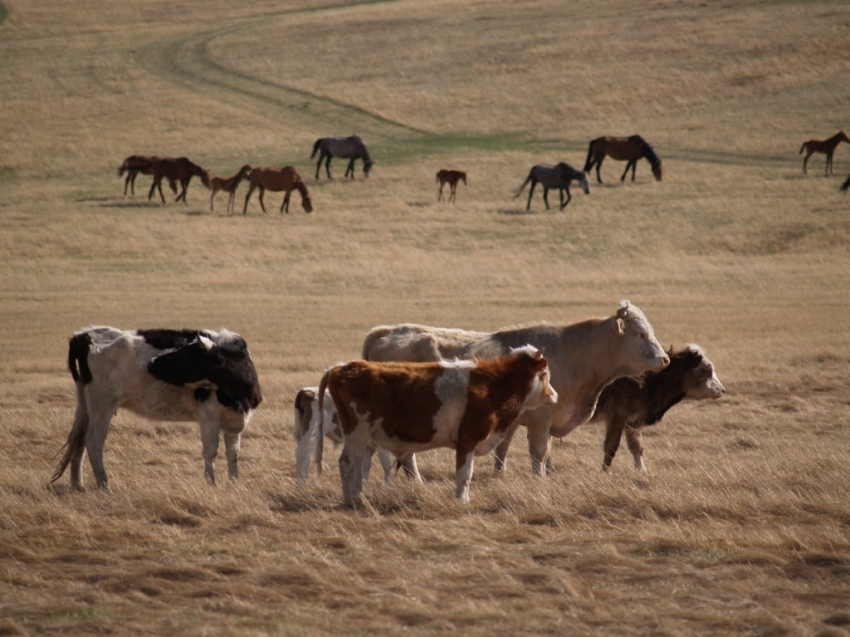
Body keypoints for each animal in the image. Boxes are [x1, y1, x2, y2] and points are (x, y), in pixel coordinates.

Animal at [51, 326, 260, 490]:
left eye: (186, 353)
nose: (151, 363)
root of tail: (83, 335)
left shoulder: (234, 421)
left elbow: (233, 453)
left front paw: (234, 483)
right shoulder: (210, 417)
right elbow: (211, 452)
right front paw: (211, 484)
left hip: (85, 405)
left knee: (78, 439)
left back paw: (77, 483)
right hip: (102, 405)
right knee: (93, 441)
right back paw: (103, 484)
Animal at [318, 346, 556, 504]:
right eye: (545, 374)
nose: (554, 395)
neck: (494, 386)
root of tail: (343, 368)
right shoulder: (467, 439)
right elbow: (464, 474)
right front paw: (462, 501)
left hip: (362, 436)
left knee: (356, 464)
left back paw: (356, 496)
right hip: (357, 432)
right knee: (348, 463)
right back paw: (352, 499)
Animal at [360, 300, 668, 474]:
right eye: (639, 333)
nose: (664, 358)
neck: (574, 353)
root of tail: (388, 332)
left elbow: (505, 449)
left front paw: (501, 475)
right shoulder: (542, 418)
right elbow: (540, 452)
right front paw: (538, 478)